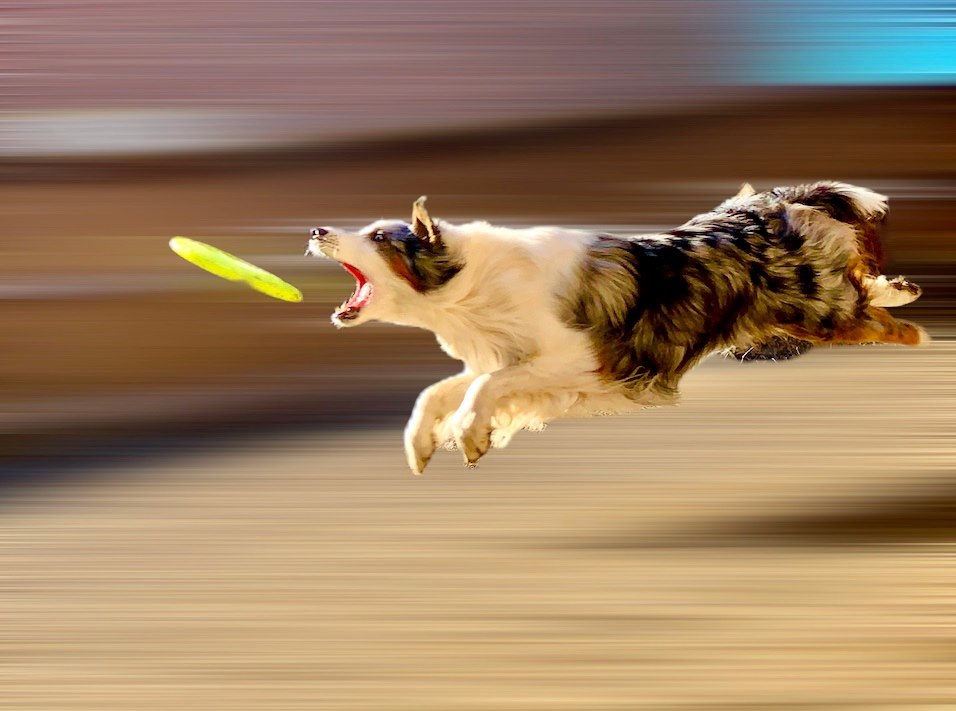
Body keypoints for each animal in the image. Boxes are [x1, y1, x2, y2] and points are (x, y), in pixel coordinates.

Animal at [306, 182, 928, 472]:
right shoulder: (517, 359)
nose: (314, 229)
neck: (470, 284)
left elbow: (481, 387)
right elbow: (441, 390)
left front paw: (470, 434)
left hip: (820, 314)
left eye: (379, 237)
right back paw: (901, 289)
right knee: (866, 290)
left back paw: (920, 333)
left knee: (884, 322)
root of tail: (773, 206)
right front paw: (423, 445)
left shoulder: (586, 359)